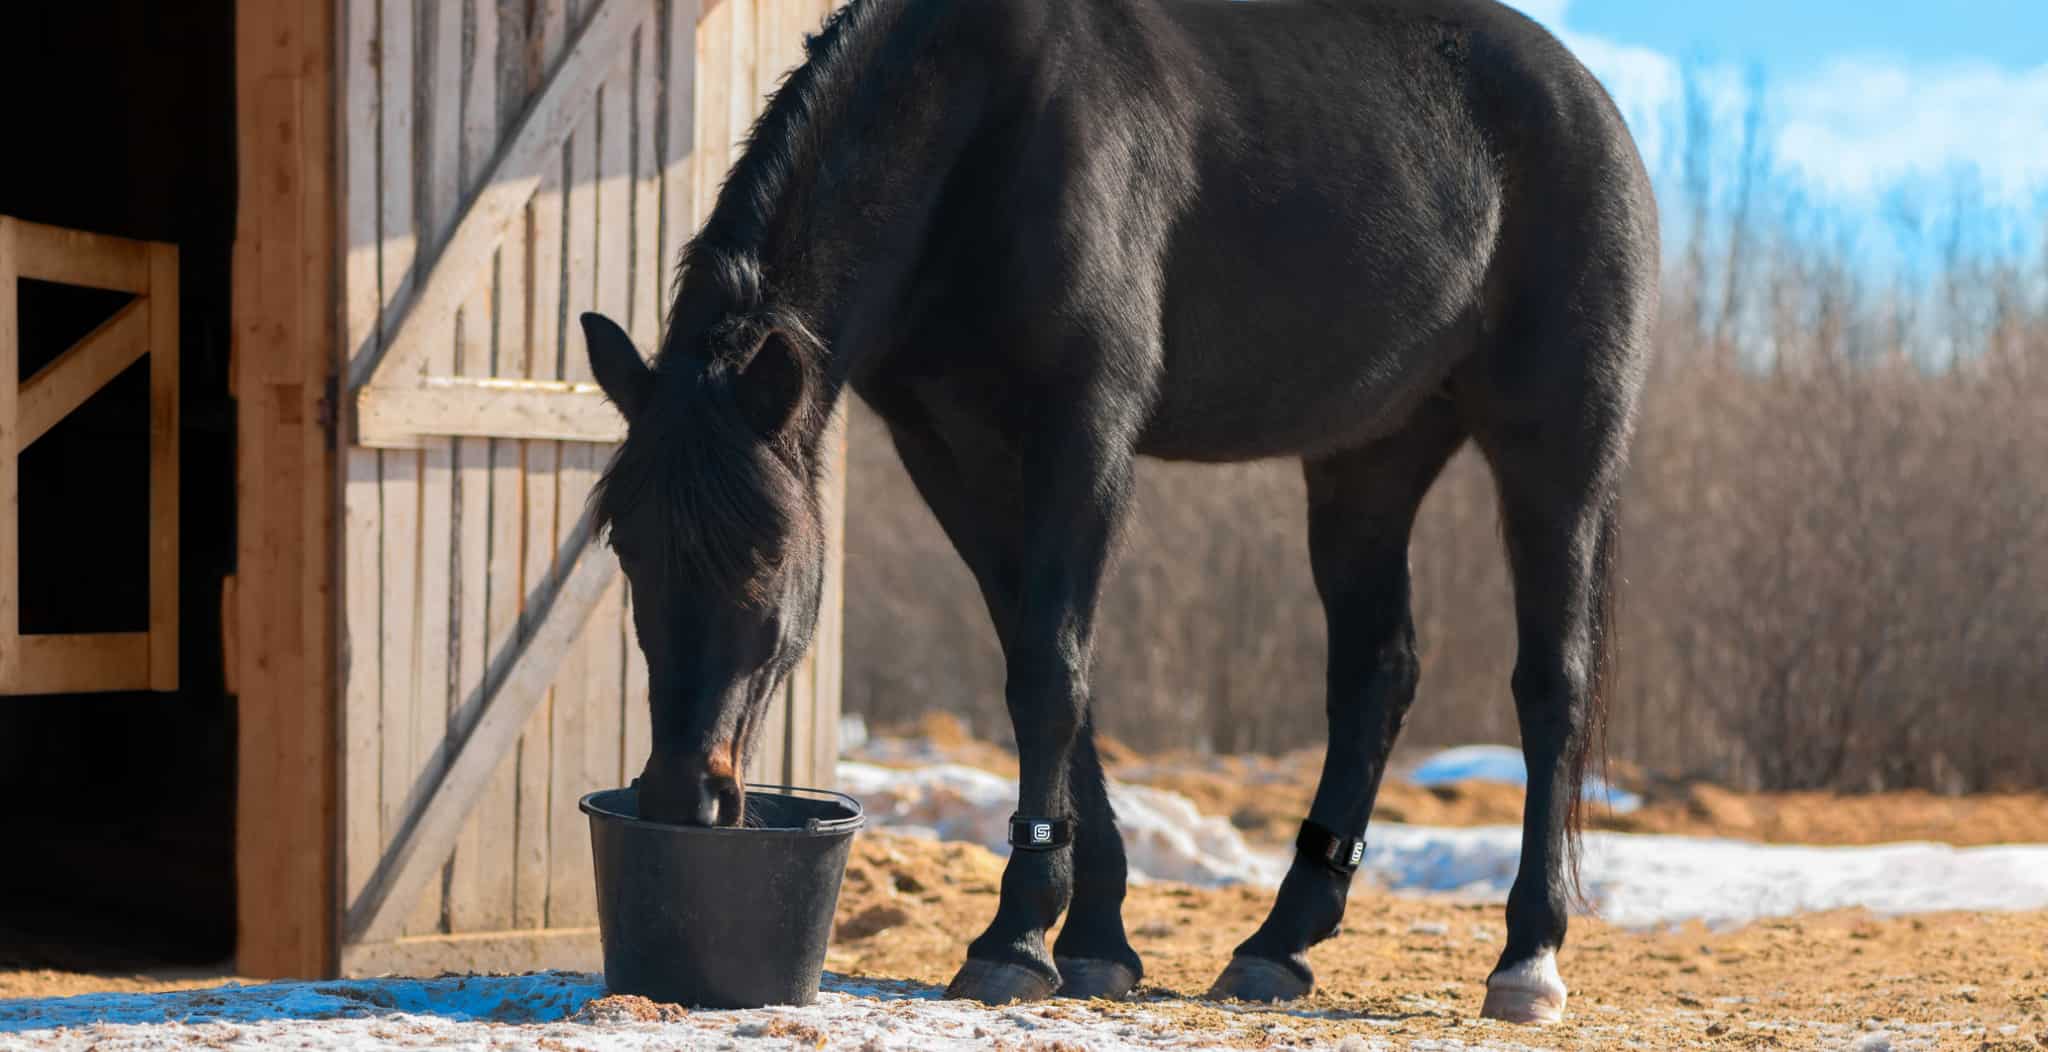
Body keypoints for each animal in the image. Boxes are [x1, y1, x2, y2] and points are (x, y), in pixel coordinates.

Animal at [577, 0, 1646, 1023]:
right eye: (628, 550)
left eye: (765, 553)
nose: (682, 796)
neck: (986, 128)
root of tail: (1588, 102)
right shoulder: (949, 452)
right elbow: (1046, 667)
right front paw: (1093, 938)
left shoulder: (1084, 431)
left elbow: (1050, 672)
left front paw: (1013, 942)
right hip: (1369, 459)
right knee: (1377, 674)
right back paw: (1278, 945)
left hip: (1556, 449)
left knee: (1552, 683)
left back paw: (1527, 961)